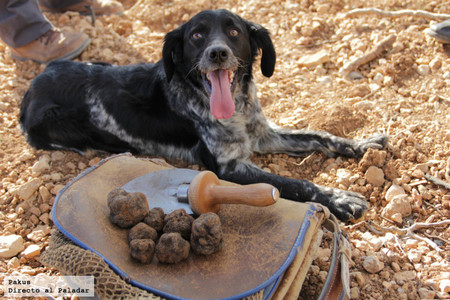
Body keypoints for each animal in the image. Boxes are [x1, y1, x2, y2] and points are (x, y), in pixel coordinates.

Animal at [20, 9, 386, 221]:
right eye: (196, 35)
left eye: (234, 32)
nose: (218, 53)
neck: (237, 108)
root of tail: (36, 82)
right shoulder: (228, 167)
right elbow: (291, 182)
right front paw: (338, 198)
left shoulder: (263, 135)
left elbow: (319, 136)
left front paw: (361, 145)